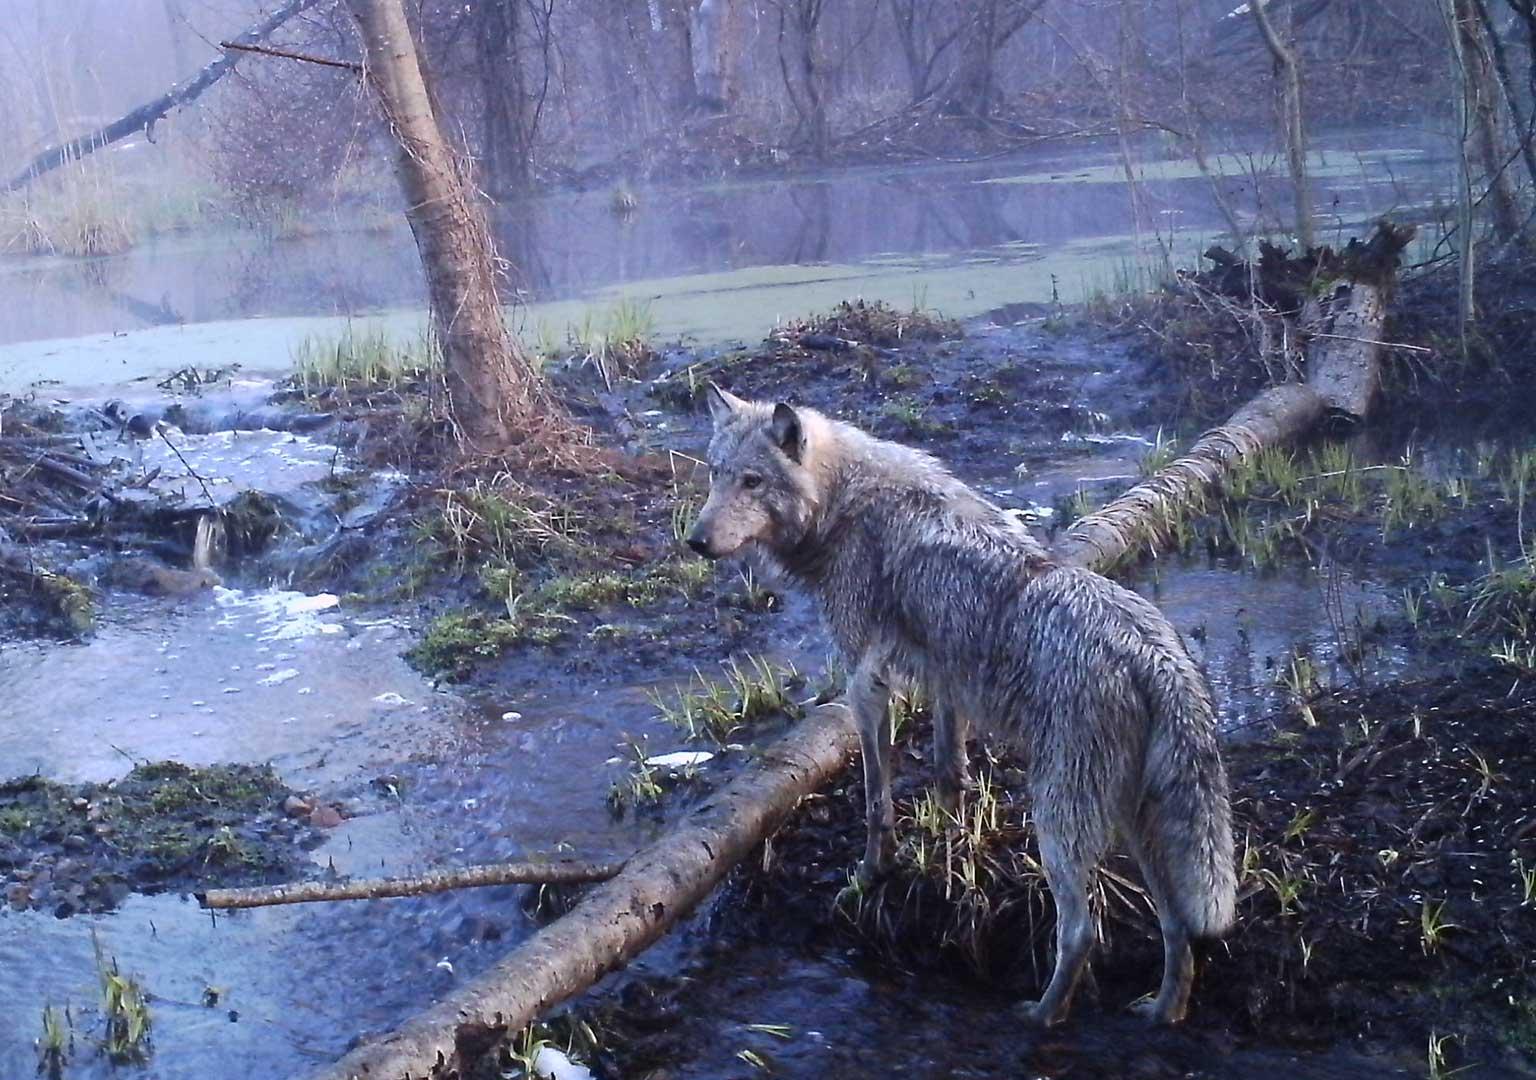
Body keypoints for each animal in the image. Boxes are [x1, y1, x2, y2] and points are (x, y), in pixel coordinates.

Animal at [691, 384, 1241, 1026]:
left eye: (753, 481)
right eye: (716, 473)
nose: (695, 541)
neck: (844, 504)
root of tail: (1154, 654)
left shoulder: (865, 684)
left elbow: (876, 801)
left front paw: (871, 875)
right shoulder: (944, 678)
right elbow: (948, 771)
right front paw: (950, 849)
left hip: (1059, 822)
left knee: (1081, 933)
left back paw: (1040, 1017)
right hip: (1136, 825)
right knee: (1177, 926)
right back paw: (1162, 1012)